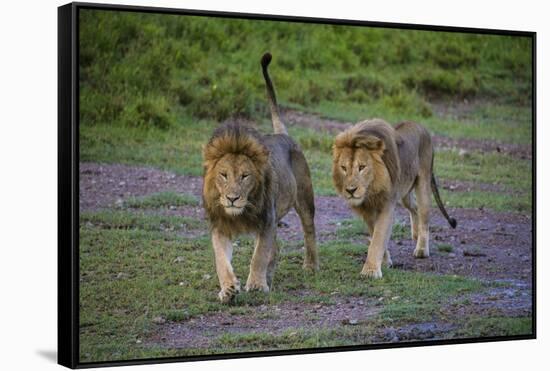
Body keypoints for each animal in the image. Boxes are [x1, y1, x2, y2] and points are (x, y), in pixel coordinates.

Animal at [203, 52, 320, 304]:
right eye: (223, 175)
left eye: (245, 176)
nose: (232, 198)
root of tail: (282, 134)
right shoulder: (221, 226)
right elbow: (221, 261)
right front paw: (228, 289)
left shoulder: (266, 220)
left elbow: (259, 254)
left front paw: (256, 285)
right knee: (276, 248)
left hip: (305, 200)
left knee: (309, 232)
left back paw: (310, 266)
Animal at [334, 119, 460, 280]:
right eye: (343, 168)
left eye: (362, 167)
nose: (350, 190)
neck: (371, 190)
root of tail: (419, 125)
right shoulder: (368, 211)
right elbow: (375, 235)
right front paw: (385, 261)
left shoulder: (386, 205)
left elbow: (378, 237)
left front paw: (370, 271)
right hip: (405, 193)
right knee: (414, 208)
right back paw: (415, 234)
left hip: (423, 183)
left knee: (424, 216)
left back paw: (421, 250)